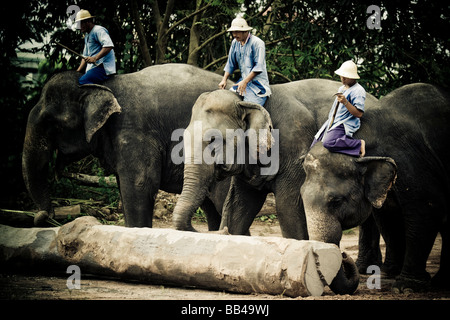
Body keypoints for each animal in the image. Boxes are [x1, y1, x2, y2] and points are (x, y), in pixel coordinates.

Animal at [21, 63, 232, 228]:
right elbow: (124, 188)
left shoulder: (133, 130)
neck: (103, 84)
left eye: (50, 121)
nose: (44, 216)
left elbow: (140, 184)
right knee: (211, 207)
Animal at [300, 83, 450, 296]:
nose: (345, 255)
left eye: (336, 201)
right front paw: (390, 274)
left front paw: (405, 287)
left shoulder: (413, 165)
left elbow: (428, 211)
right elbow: (387, 218)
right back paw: (440, 281)